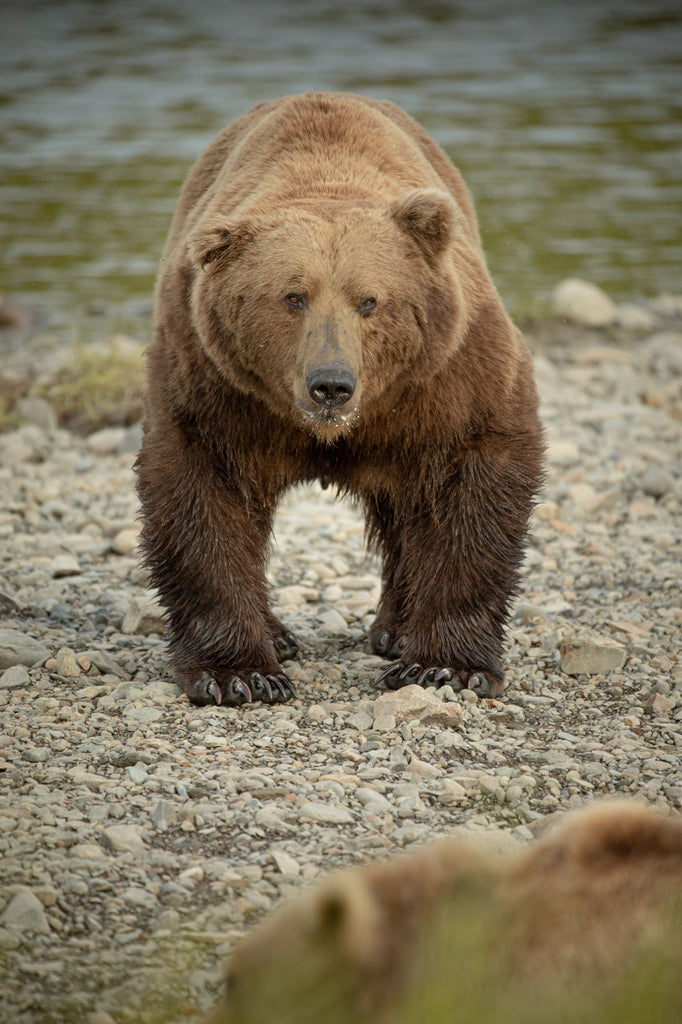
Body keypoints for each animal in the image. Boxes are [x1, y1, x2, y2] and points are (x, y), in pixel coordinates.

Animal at [137, 92, 540, 708]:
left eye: (369, 300)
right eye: (292, 297)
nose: (331, 384)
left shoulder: (448, 376)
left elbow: (476, 484)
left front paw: (447, 666)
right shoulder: (213, 383)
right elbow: (199, 492)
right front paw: (239, 673)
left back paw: (395, 632)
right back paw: (280, 638)